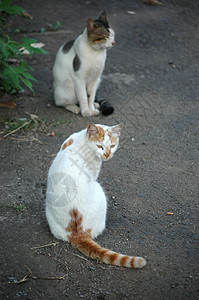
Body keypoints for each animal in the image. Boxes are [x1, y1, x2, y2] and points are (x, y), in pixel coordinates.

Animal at [46, 123, 146, 268]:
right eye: (100, 146)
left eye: (112, 145)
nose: (107, 154)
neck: (82, 140)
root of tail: (78, 233)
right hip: (100, 192)